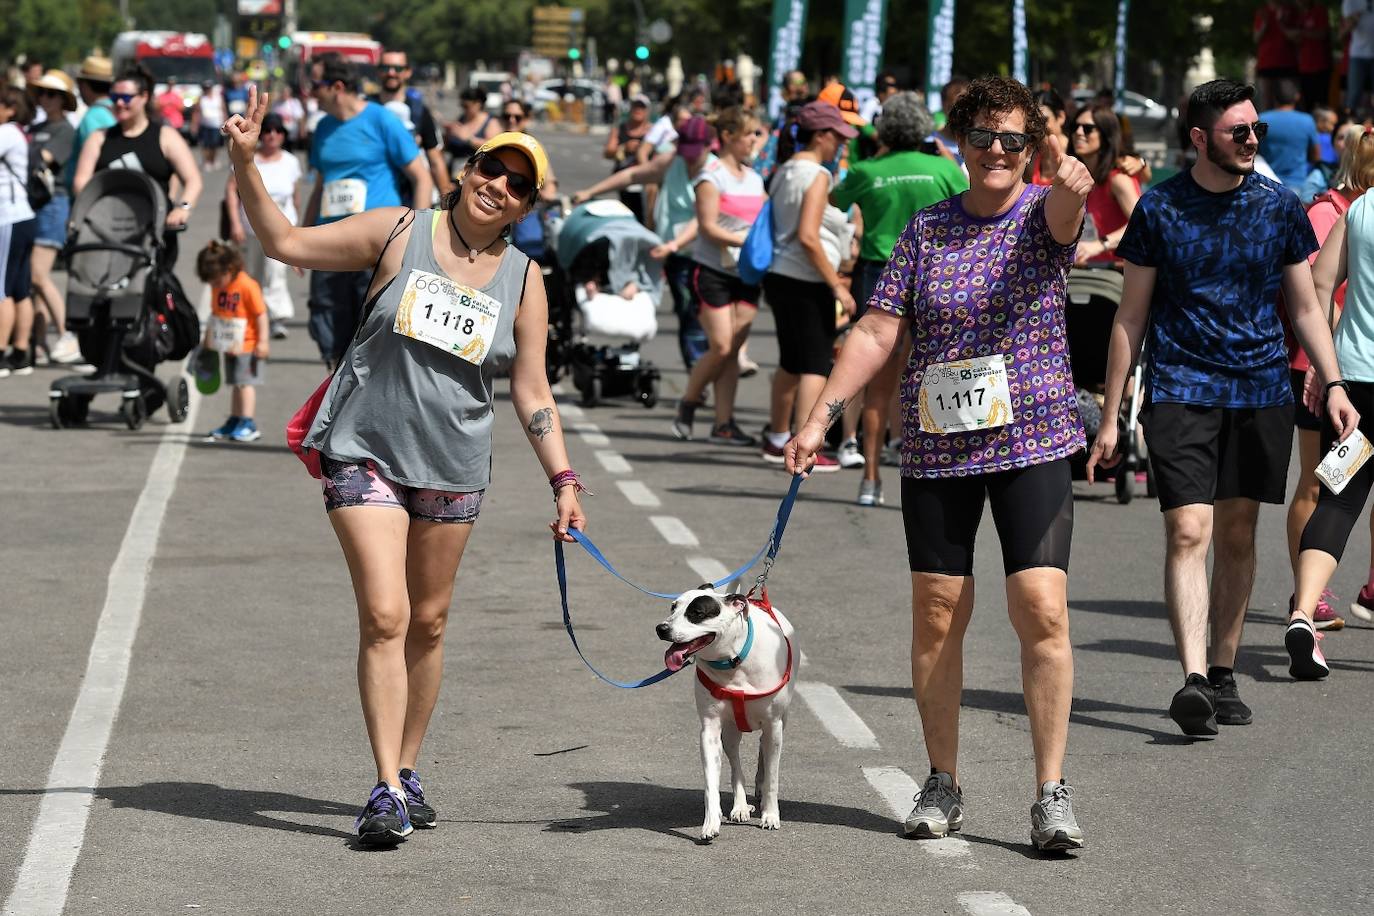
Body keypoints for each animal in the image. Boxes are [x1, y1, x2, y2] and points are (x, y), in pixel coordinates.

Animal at [654, 585, 796, 840]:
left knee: (764, 747)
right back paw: (740, 806)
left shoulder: (774, 724)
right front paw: (711, 822)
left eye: (697, 613)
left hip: (780, 723)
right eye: (673, 608)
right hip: (730, 731)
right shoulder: (710, 729)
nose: (661, 628)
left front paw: (771, 815)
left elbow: (773, 777)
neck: (734, 662)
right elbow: (711, 782)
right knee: (736, 761)